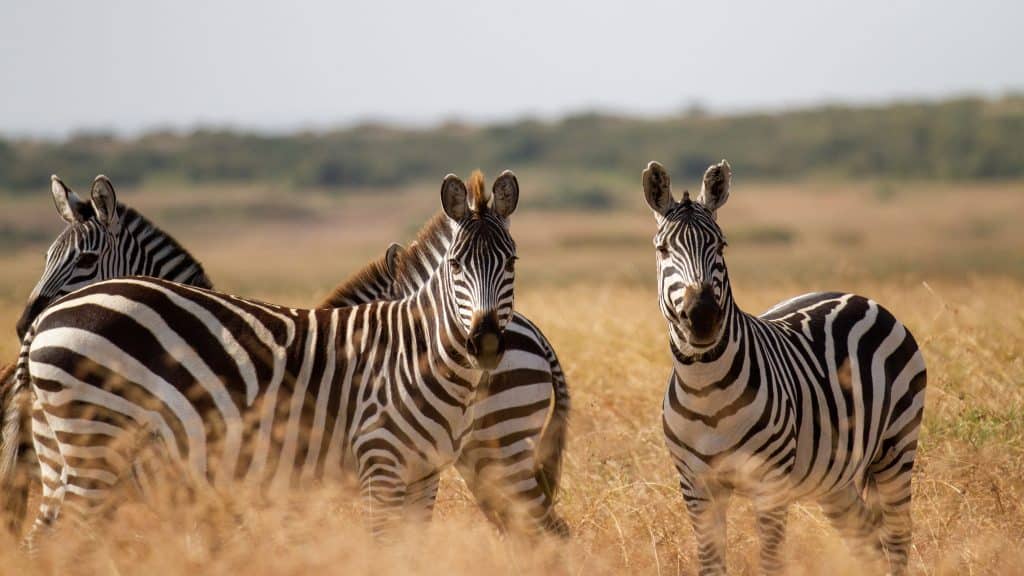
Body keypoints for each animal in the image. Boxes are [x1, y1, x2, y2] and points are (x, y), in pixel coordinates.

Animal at [642, 160, 927, 575]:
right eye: (663, 249)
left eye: (721, 245)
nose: (703, 317)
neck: (705, 386)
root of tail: (857, 296)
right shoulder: (696, 487)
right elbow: (711, 564)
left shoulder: (770, 484)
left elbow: (771, 562)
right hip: (835, 476)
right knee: (866, 538)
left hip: (897, 445)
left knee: (897, 537)